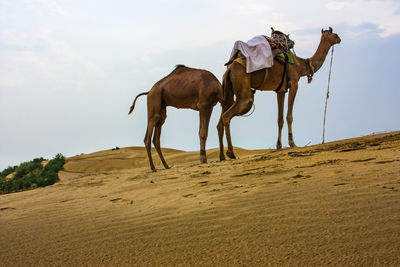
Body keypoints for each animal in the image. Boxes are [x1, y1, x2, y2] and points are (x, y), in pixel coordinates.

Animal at [217, 27, 342, 161]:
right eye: (335, 34)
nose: (339, 39)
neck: (301, 66)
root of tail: (230, 68)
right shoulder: (294, 84)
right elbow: (289, 116)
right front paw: (292, 143)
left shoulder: (280, 90)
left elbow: (280, 119)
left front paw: (279, 146)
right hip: (243, 91)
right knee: (227, 115)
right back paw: (231, 153)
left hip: (229, 90)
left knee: (221, 119)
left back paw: (222, 156)